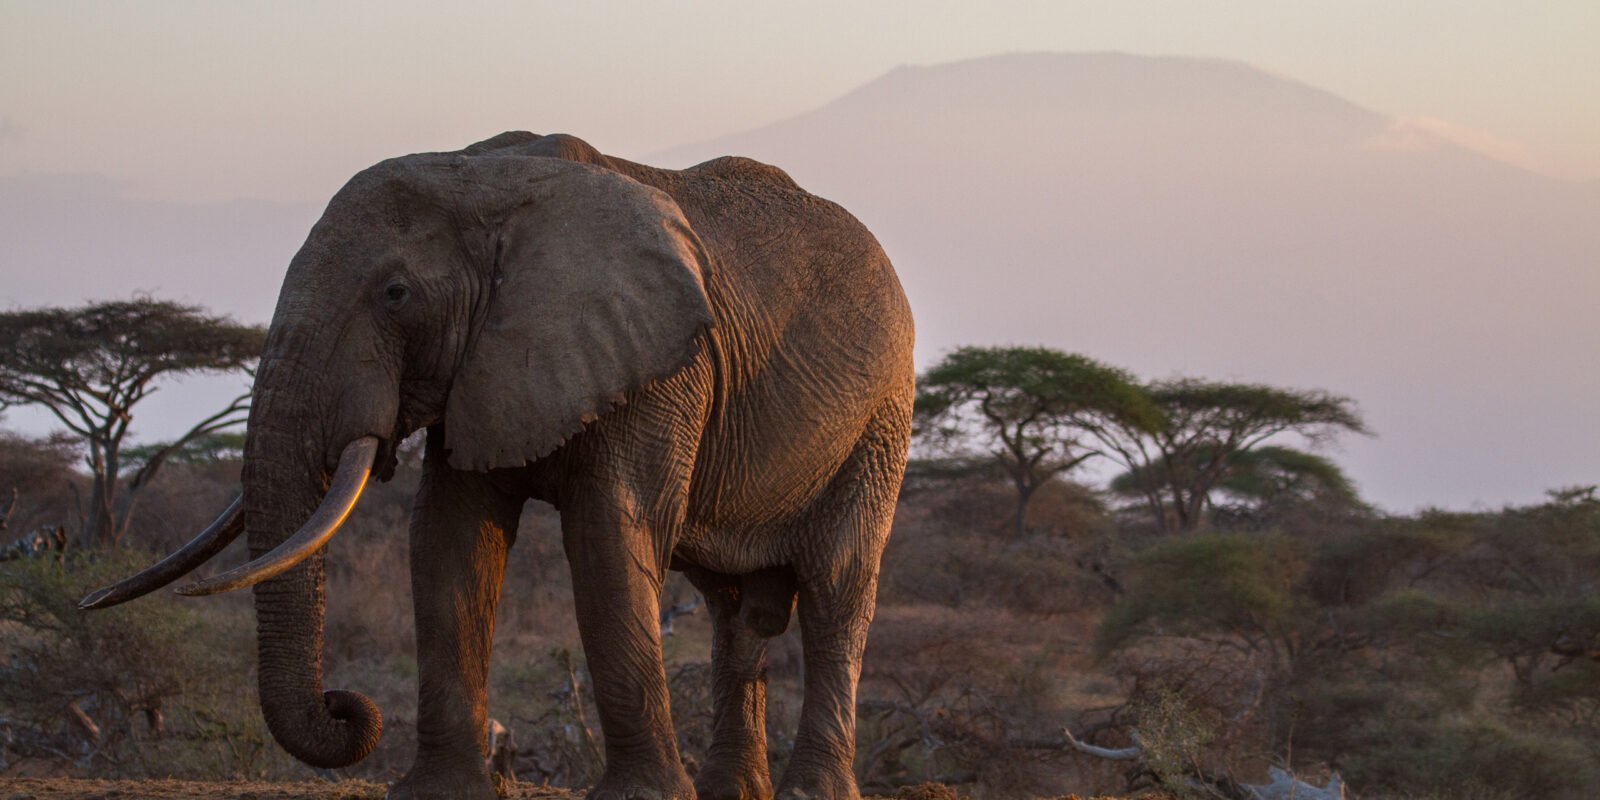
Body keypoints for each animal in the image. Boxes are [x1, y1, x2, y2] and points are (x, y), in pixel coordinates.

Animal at [84, 132, 915, 800]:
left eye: (395, 294)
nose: (346, 707)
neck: (485, 179)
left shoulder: (660, 367)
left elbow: (608, 534)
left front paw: (640, 798)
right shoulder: (483, 366)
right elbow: (449, 540)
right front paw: (435, 794)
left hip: (881, 417)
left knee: (837, 588)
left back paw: (811, 791)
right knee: (732, 611)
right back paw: (731, 792)